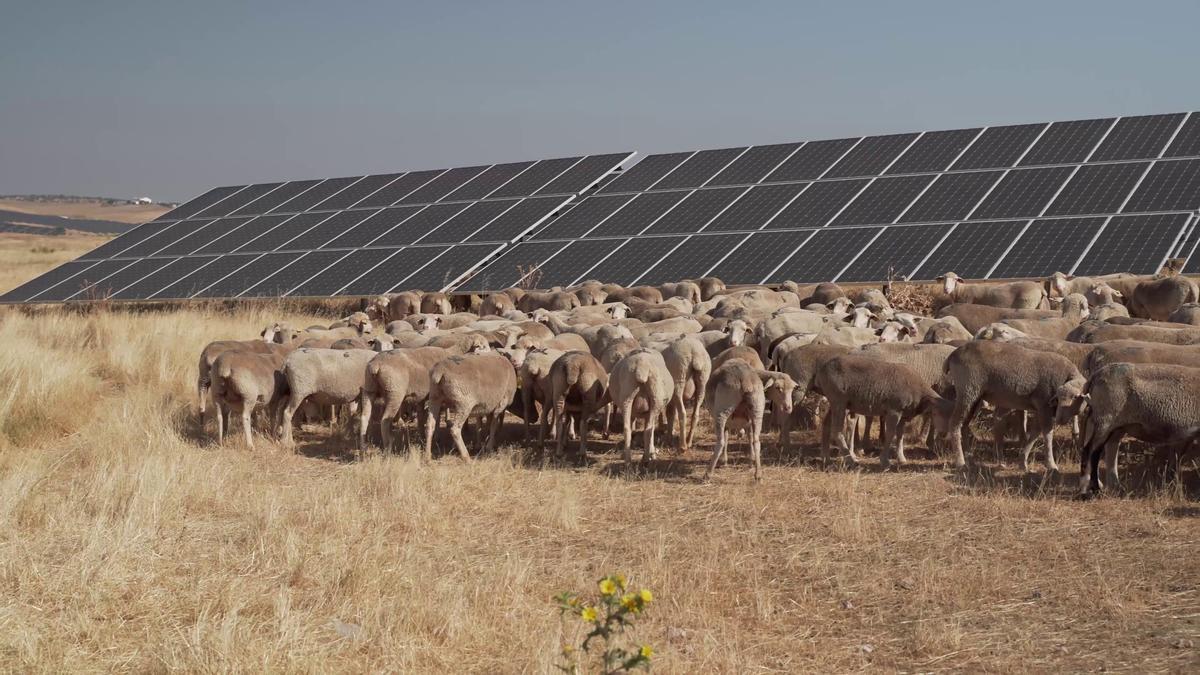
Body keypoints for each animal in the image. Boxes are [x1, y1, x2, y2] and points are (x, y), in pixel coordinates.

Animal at [945, 338, 1089, 470]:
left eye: (1075, 397)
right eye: (1058, 397)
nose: (1060, 419)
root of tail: (954, 353)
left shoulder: (1042, 408)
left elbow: (1034, 434)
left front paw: (1023, 462)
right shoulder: (1044, 406)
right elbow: (1047, 434)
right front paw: (1051, 465)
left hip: (975, 397)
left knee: (964, 425)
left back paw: (970, 459)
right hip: (967, 392)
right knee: (954, 424)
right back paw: (960, 462)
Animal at [1075, 362, 1200, 494]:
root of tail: (1097, 375)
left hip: (1115, 425)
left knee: (1110, 449)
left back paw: (1113, 486)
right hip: (1105, 419)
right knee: (1091, 451)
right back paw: (1092, 489)